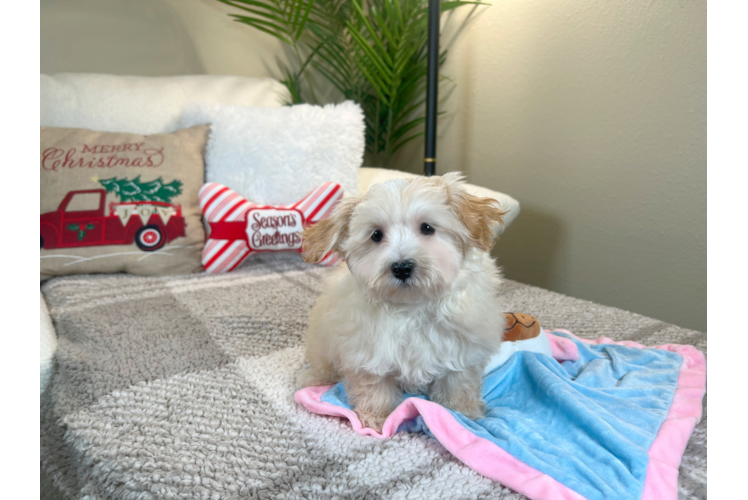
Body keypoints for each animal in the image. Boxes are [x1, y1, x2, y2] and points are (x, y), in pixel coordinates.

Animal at [298, 171, 508, 430]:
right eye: (376, 235)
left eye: (427, 228)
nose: (402, 267)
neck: (413, 306)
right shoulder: (367, 351)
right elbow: (374, 387)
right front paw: (376, 418)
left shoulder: (464, 348)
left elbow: (459, 382)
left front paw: (462, 413)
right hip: (322, 341)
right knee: (323, 363)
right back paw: (316, 378)